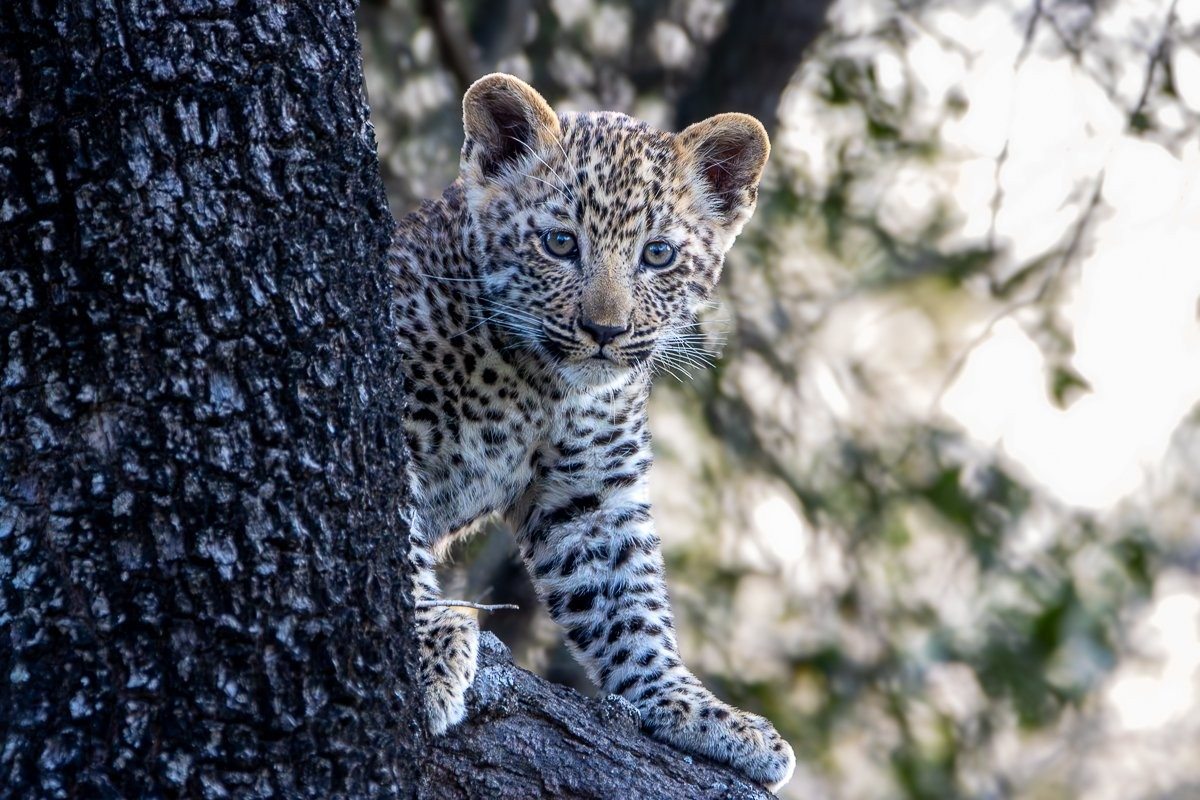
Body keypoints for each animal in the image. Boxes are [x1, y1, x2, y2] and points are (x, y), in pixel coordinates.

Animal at [389, 73, 794, 792]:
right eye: (559, 243)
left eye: (657, 256)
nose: (604, 331)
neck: (535, 385)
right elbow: (392, 537)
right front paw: (429, 638)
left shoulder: (590, 498)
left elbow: (629, 604)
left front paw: (699, 711)